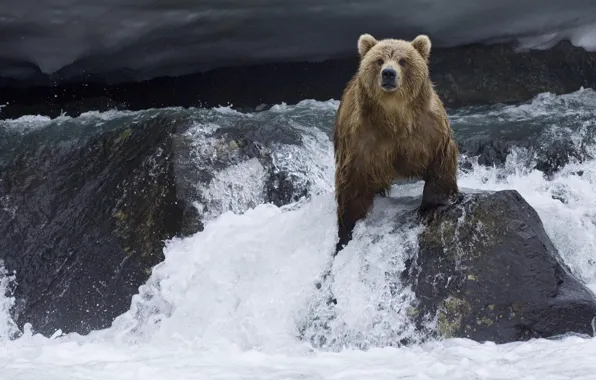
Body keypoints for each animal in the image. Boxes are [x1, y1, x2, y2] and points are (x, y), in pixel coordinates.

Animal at [332, 32, 458, 255]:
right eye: (379, 60)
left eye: (403, 60)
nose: (388, 74)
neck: (395, 118)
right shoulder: (361, 140)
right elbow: (352, 184)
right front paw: (347, 230)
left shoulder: (429, 130)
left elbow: (440, 162)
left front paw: (431, 209)